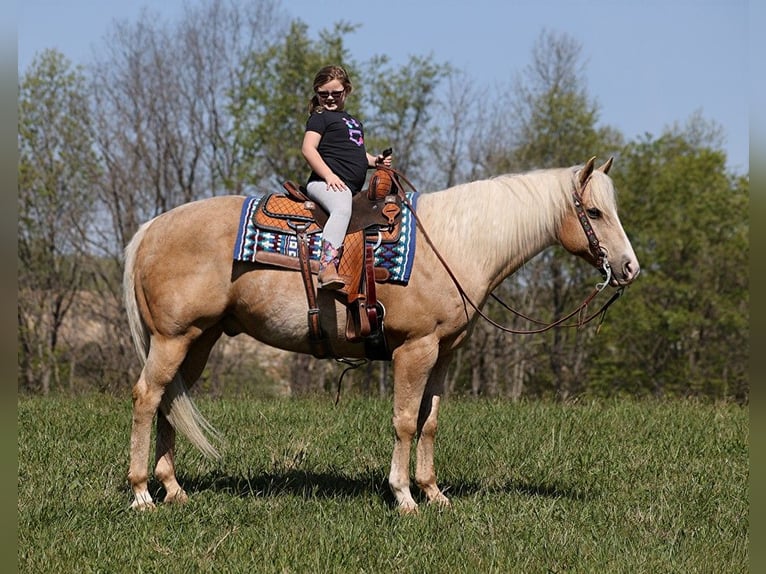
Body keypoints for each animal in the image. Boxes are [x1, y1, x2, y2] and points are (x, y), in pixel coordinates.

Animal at [123, 159, 640, 516]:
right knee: (148, 396)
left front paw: (434, 493)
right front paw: (404, 496)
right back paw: (141, 492)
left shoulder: (444, 354)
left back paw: (173, 489)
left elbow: (430, 422)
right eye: (595, 212)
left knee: (170, 398)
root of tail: (151, 228)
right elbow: (406, 421)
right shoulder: (415, 349)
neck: (453, 245)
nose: (630, 267)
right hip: (173, 338)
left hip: (199, 339)